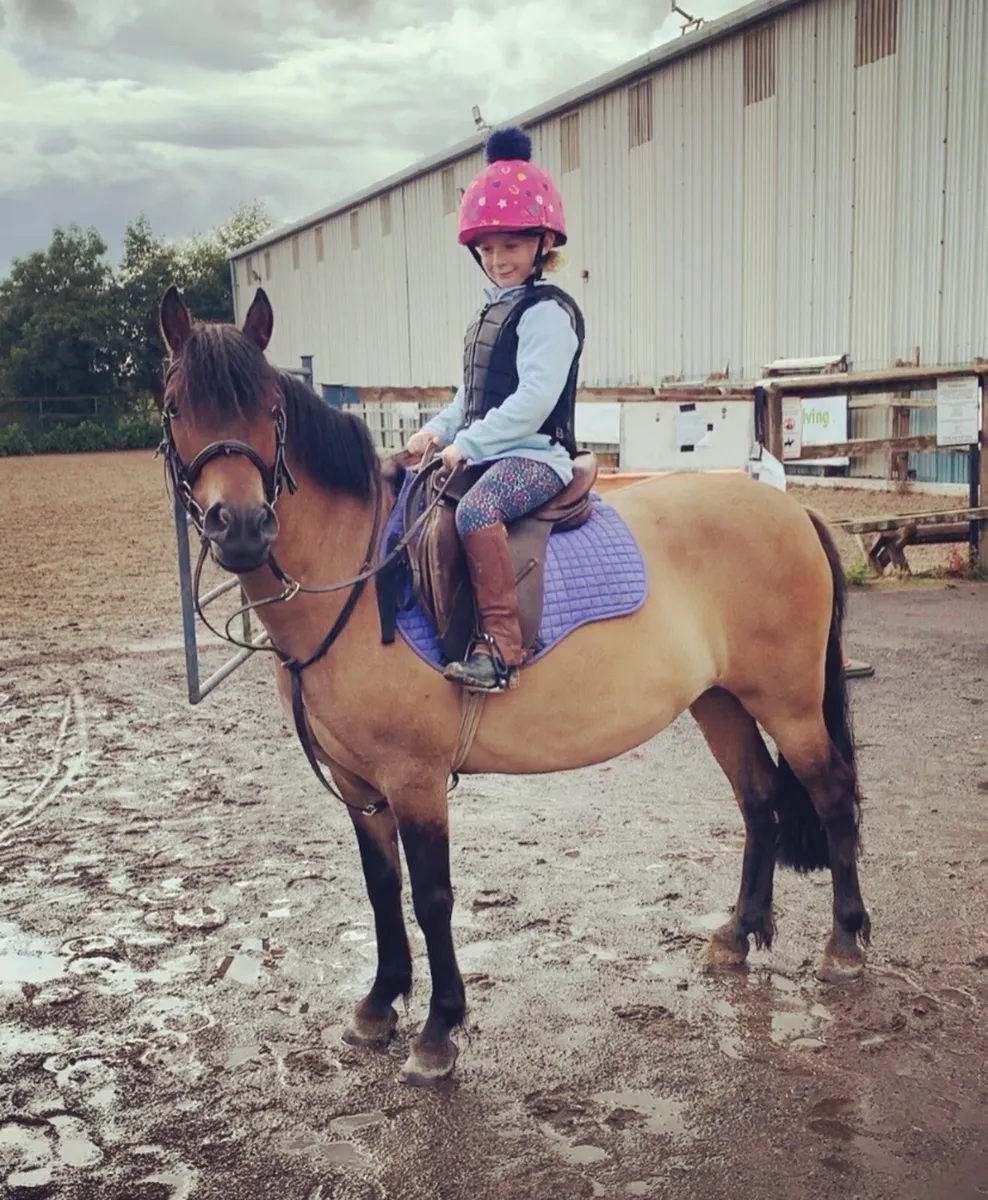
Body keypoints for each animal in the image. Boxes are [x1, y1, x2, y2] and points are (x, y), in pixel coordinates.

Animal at [157, 284, 870, 1086]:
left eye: (271, 407)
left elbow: (432, 896)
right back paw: (739, 934)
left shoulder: (415, 780)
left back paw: (845, 944)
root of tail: (790, 508)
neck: (362, 577)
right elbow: (381, 887)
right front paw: (379, 1004)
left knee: (831, 794)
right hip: (720, 702)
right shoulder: (357, 783)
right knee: (758, 801)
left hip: (790, 704)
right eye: (176, 404)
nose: (242, 526)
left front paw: (438, 1030)